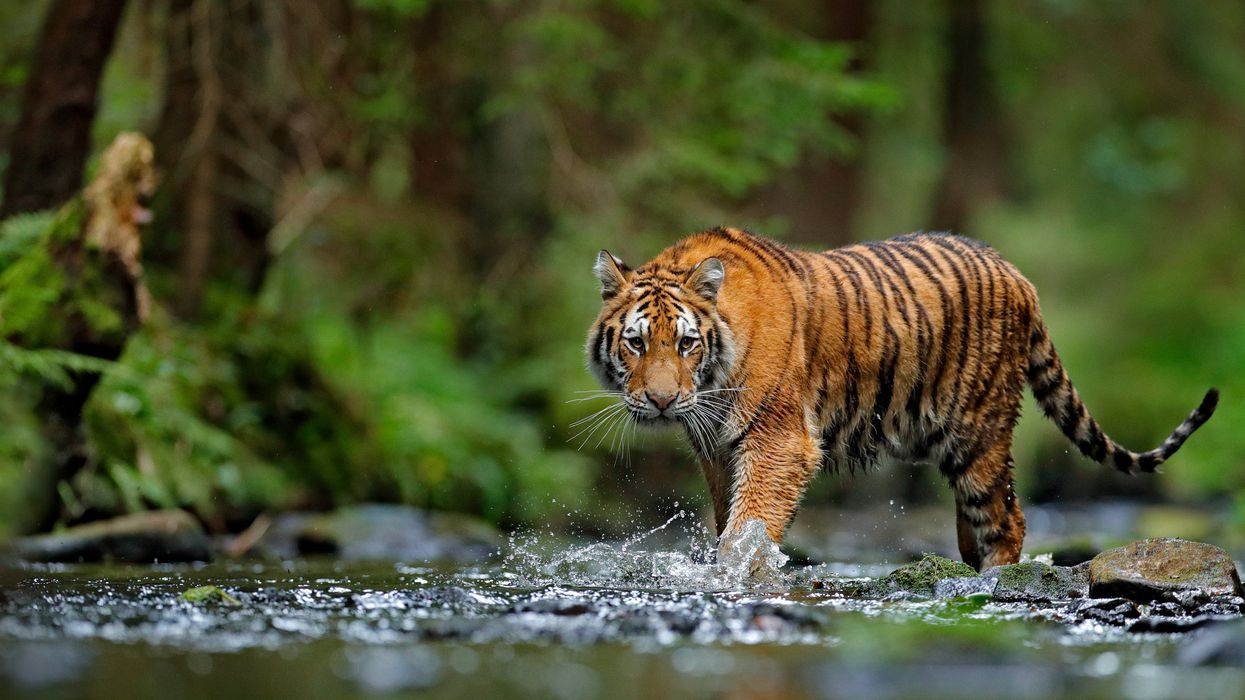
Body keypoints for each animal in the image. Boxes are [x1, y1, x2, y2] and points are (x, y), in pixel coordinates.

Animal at [585, 227, 1218, 571]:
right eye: (637, 343)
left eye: (686, 343)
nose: (662, 402)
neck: (712, 381)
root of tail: (1018, 274)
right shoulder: (717, 450)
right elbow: (728, 521)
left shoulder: (778, 442)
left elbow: (749, 527)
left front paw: (738, 575)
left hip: (979, 432)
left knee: (1007, 518)